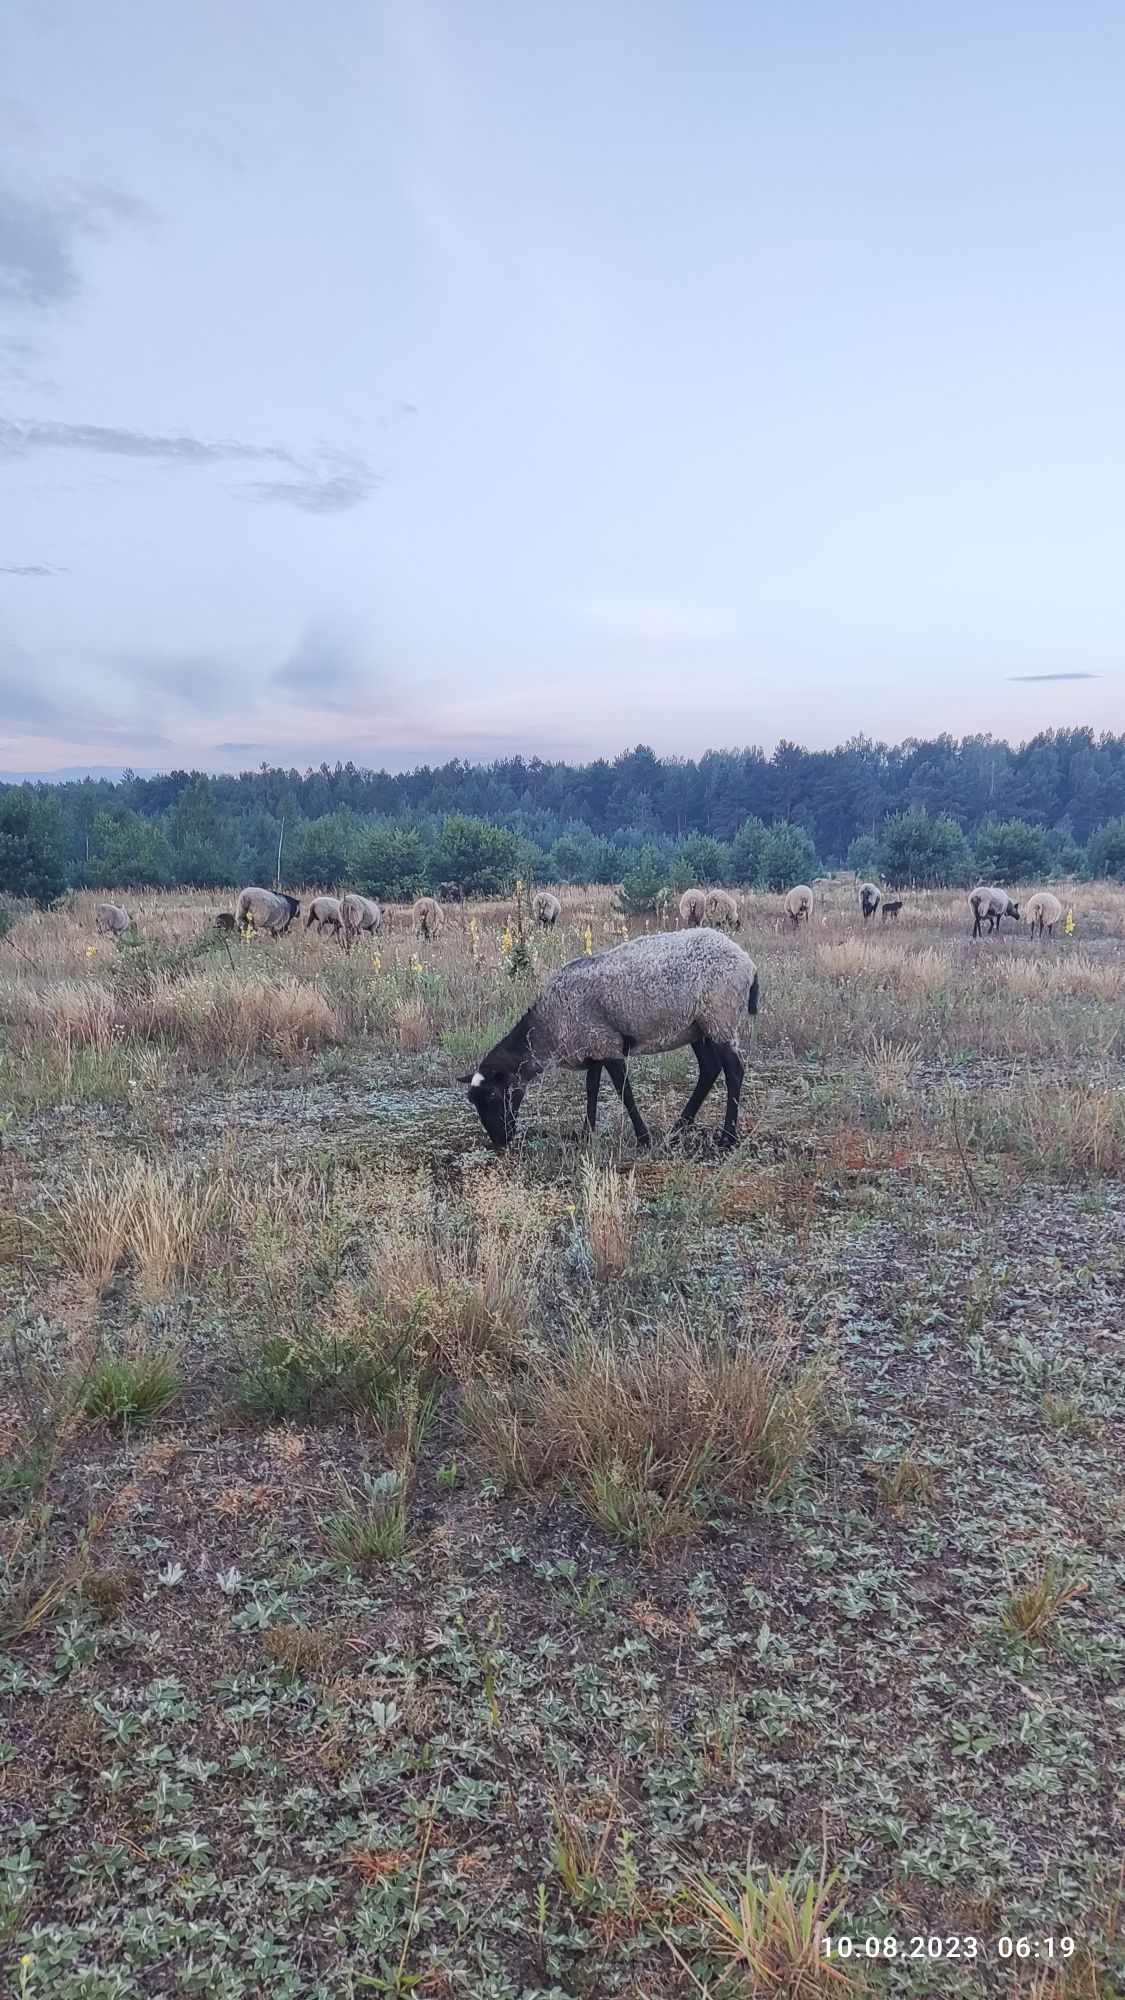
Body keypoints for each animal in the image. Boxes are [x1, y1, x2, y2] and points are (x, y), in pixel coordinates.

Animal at [460, 924, 756, 1152]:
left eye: (492, 1095)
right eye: (474, 1100)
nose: (499, 1139)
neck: (550, 1025)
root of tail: (747, 962)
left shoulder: (607, 1045)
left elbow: (624, 1092)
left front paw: (643, 1138)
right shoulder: (592, 1046)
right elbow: (591, 1090)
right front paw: (586, 1134)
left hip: (720, 1017)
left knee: (733, 1071)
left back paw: (726, 1139)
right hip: (698, 1027)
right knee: (709, 1069)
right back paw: (679, 1127)